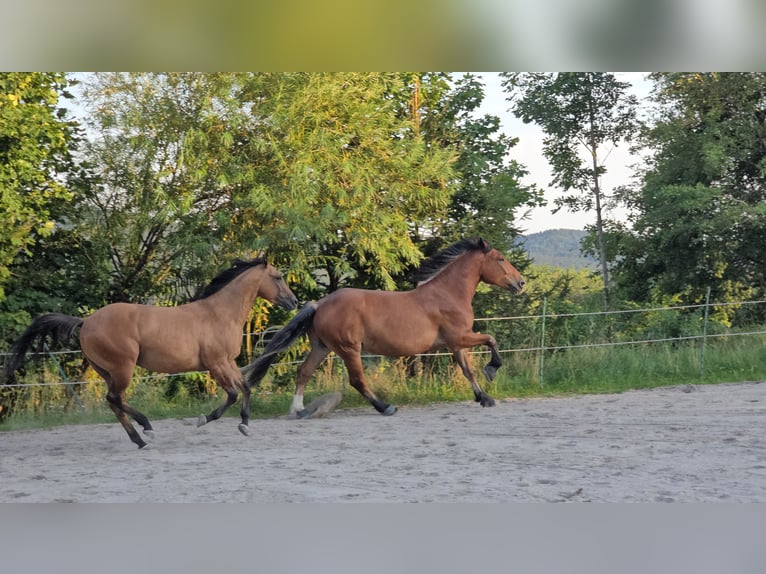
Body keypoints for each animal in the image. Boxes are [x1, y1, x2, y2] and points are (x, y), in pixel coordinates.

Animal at [6, 258, 300, 448]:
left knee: (114, 402)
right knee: (114, 399)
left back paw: (139, 440)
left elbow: (246, 387)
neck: (219, 314)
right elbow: (232, 394)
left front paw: (245, 425)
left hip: (107, 371)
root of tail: (86, 321)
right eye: (278, 277)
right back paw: (147, 428)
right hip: (123, 367)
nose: (293, 301)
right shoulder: (216, 364)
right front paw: (203, 420)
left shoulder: (228, 363)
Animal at [246, 238, 528, 418]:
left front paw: (484, 398)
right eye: (501, 259)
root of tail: (319, 304)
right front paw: (491, 370)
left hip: (322, 347)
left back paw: (298, 410)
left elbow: (468, 370)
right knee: (357, 380)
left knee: (303, 372)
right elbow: (491, 339)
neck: (448, 294)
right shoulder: (460, 337)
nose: (521, 283)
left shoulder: (456, 344)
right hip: (349, 349)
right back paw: (385, 407)